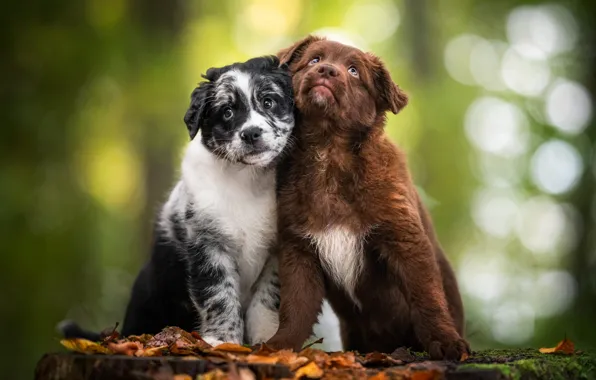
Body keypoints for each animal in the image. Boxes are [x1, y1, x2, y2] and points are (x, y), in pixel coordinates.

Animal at [67, 57, 296, 348]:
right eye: (227, 112)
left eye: (268, 102)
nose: (251, 133)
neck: (247, 180)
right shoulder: (207, 244)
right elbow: (219, 295)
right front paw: (222, 341)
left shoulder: (278, 252)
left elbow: (267, 300)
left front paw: (267, 341)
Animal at [266, 35, 470, 360]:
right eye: (314, 59)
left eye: (353, 71)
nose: (326, 71)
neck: (328, 153)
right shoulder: (299, 248)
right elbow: (296, 305)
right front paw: (279, 345)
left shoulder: (404, 237)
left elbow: (426, 295)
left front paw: (445, 341)